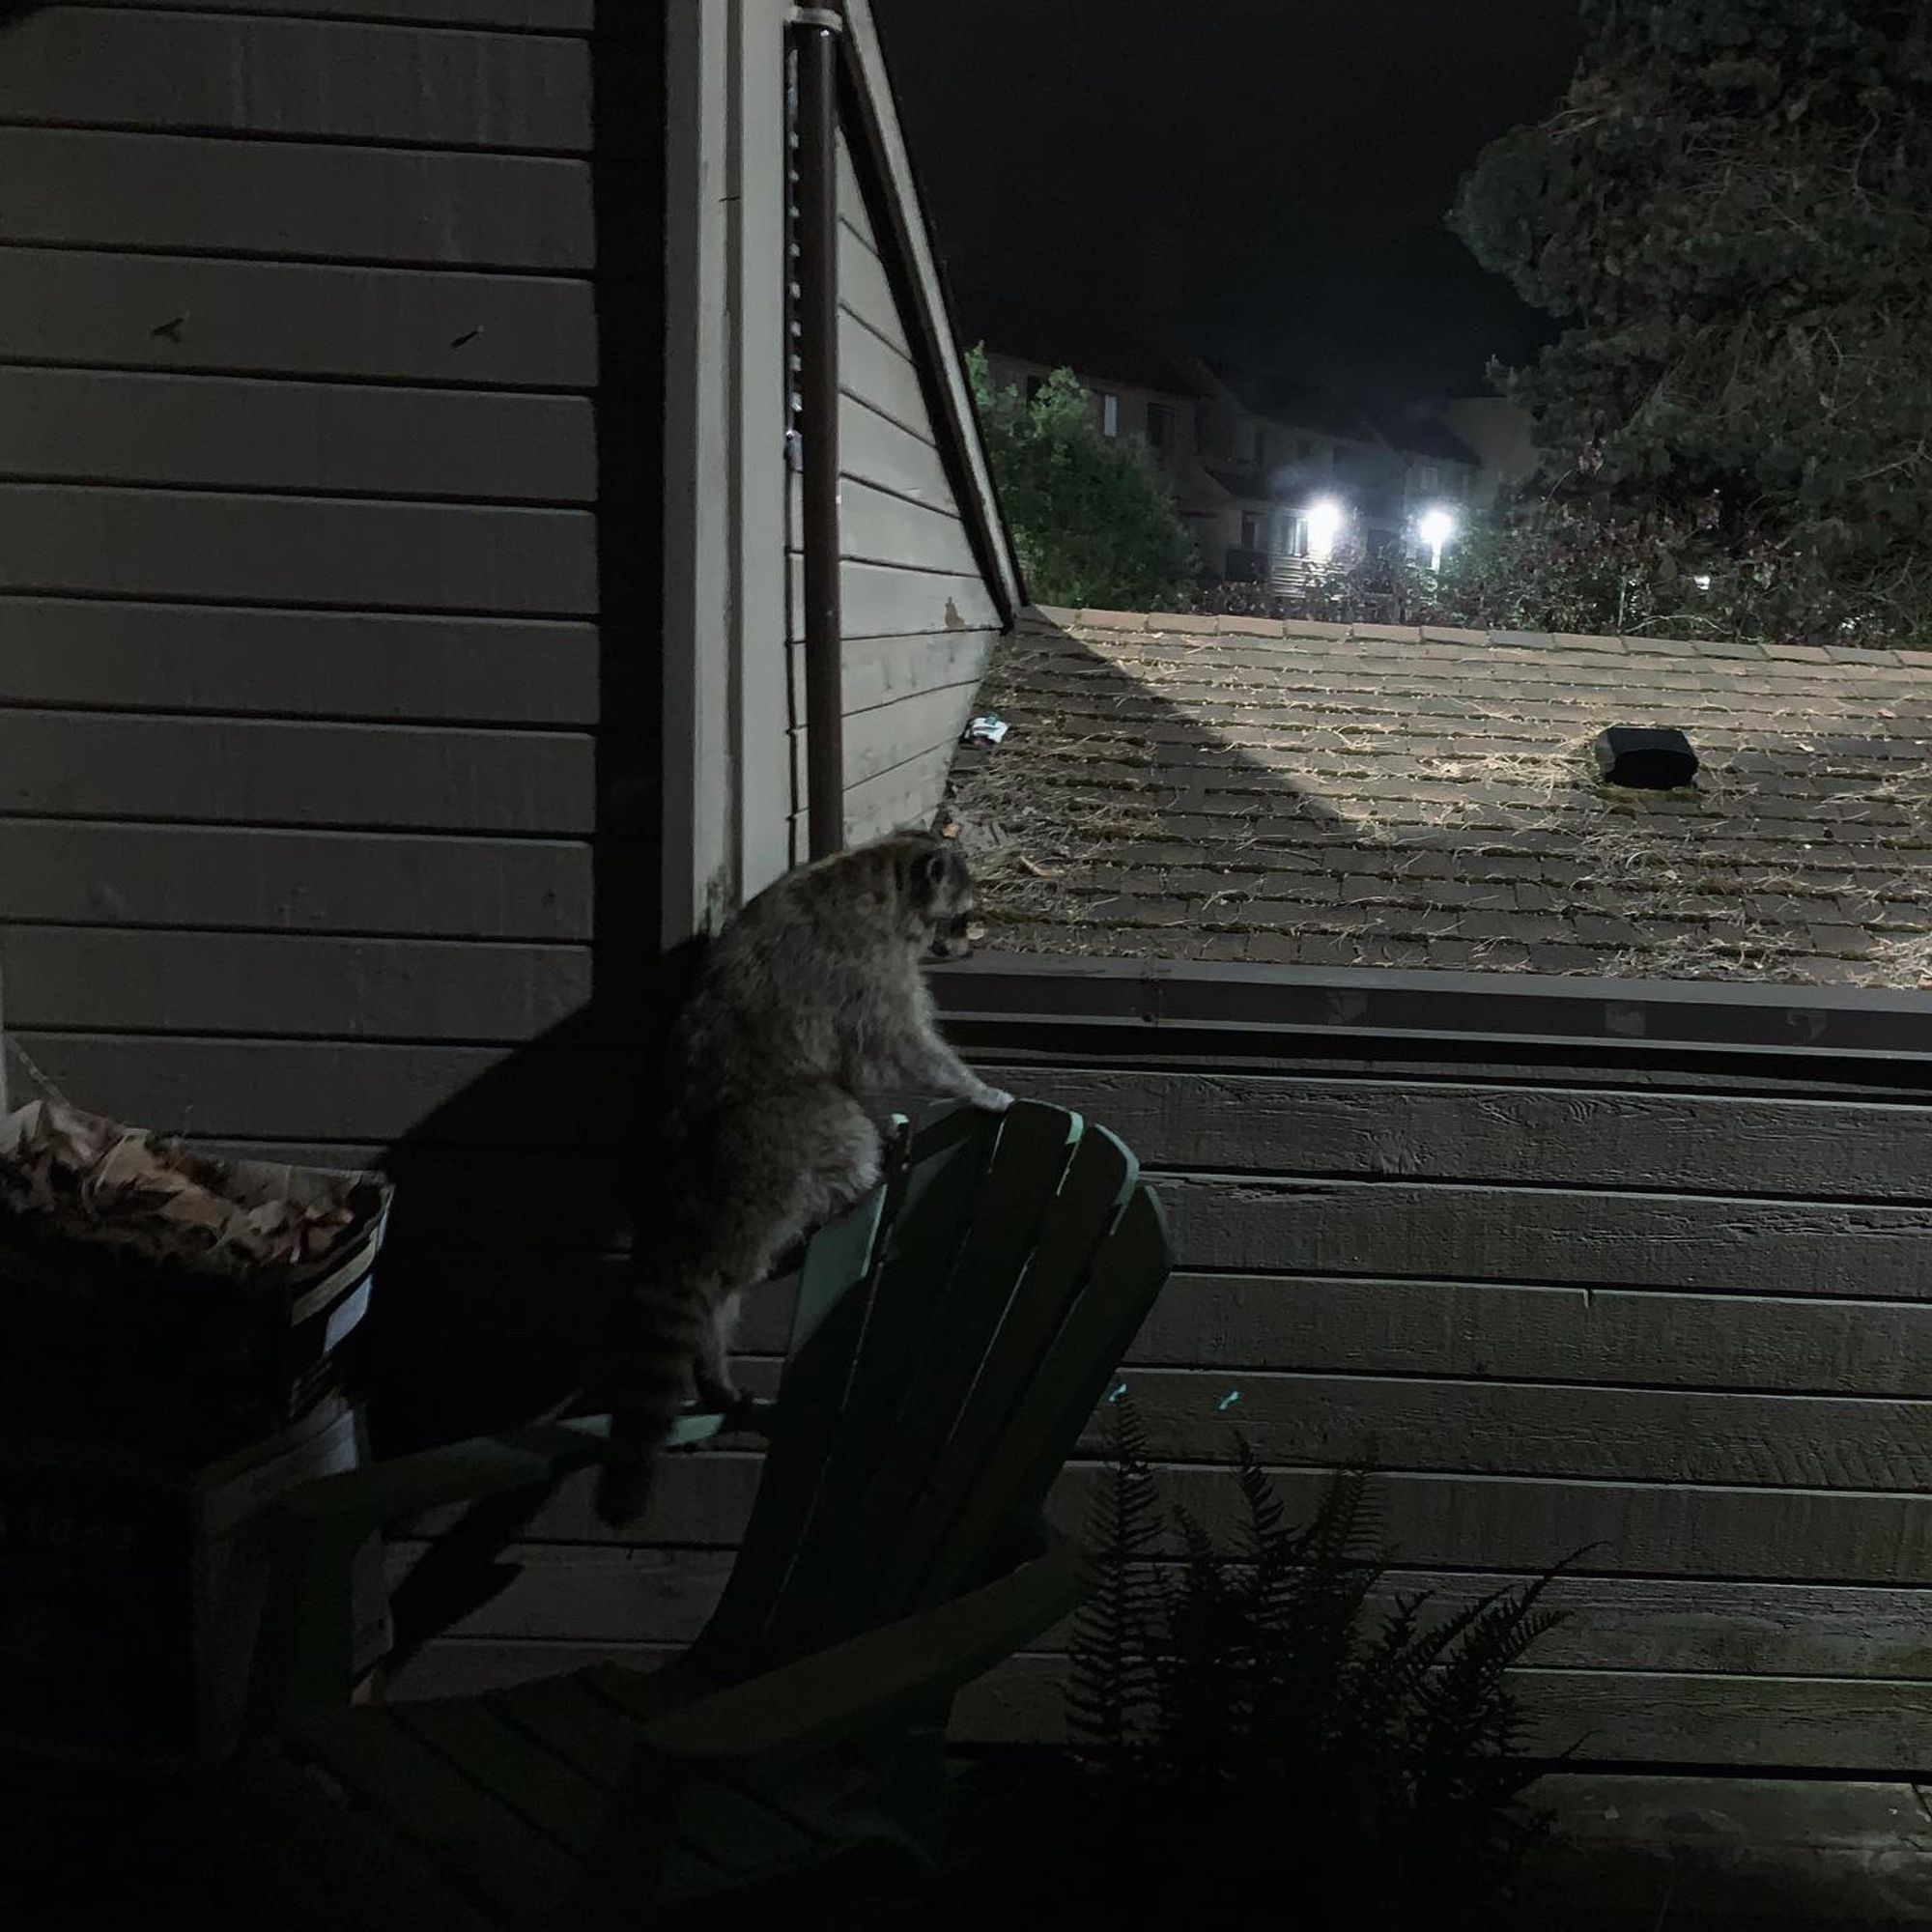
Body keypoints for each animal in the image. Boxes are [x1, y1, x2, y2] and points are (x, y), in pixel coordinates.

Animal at [587, 831, 1012, 1522]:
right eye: (961, 913)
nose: (966, 946)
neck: (884, 870)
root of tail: (690, 1132)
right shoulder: (867, 969)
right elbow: (898, 1044)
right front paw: (971, 1086)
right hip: (787, 1130)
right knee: (845, 1141)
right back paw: (856, 1191)